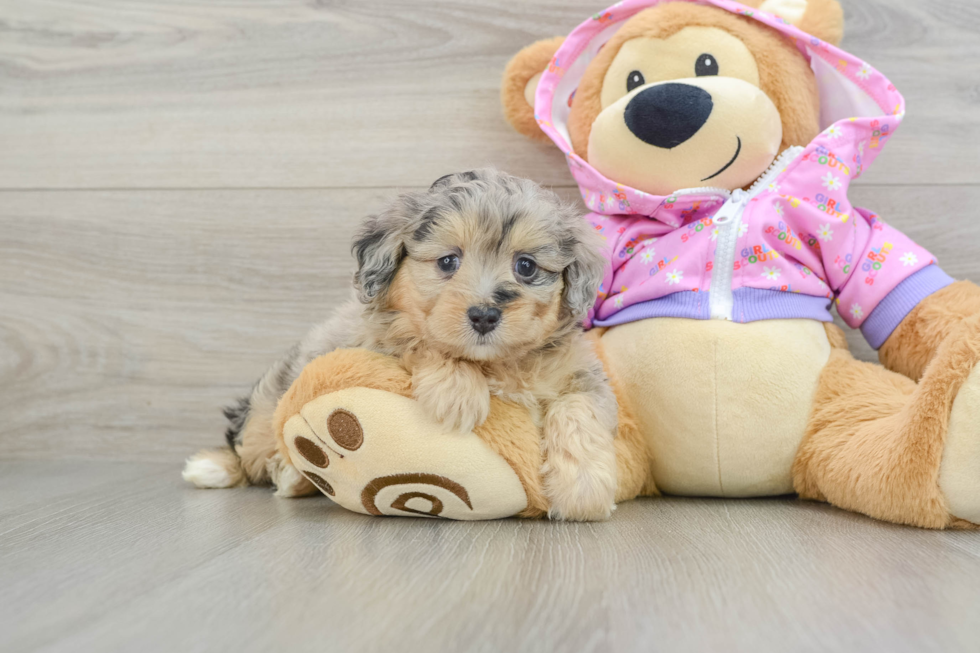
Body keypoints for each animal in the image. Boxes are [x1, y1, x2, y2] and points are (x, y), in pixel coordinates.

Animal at [180, 168, 616, 520]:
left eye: (526, 266)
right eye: (447, 262)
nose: (484, 315)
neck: (494, 363)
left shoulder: (579, 372)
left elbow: (579, 411)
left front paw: (584, 491)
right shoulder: (375, 342)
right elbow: (418, 339)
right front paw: (457, 393)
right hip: (266, 408)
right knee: (248, 447)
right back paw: (223, 469)